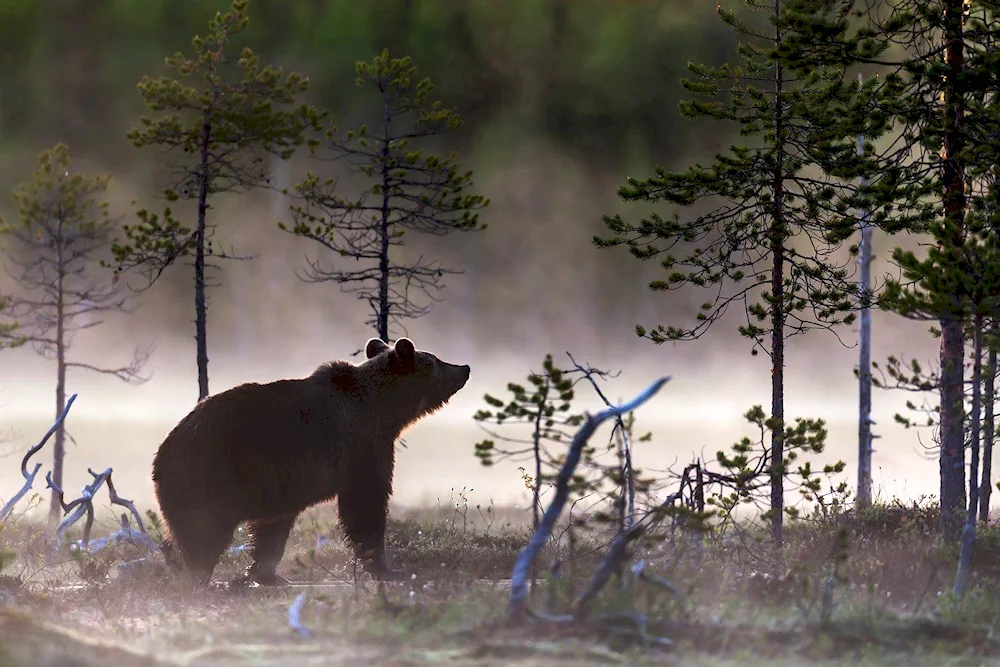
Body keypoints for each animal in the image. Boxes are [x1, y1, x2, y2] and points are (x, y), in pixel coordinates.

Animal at [150, 336, 470, 588]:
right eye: (436, 360)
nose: (465, 368)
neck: (384, 412)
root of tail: (163, 450)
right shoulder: (363, 448)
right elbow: (366, 504)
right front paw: (387, 568)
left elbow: (273, 528)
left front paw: (267, 574)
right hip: (211, 476)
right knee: (202, 530)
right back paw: (196, 574)